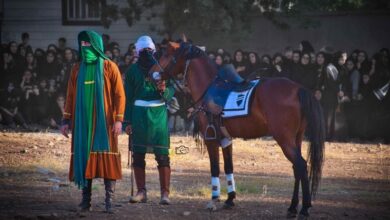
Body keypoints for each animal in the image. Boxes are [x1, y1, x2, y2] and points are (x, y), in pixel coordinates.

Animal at [151, 41, 324, 218]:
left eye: (166, 54)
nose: (151, 73)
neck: (208, 88)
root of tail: (298, 89)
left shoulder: (211, 138)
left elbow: (215, 167)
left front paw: (214, 200)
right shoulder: (226, 139)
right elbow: (229, 166)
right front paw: (230, 199)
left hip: (284, 139)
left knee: (301, 165)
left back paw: (304, 208)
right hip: (296, 138)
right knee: (297, 168)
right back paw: (292, 207)